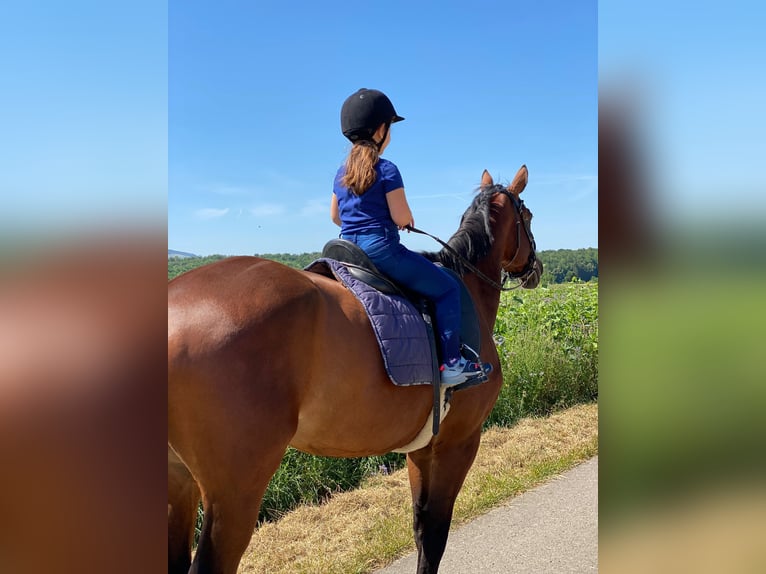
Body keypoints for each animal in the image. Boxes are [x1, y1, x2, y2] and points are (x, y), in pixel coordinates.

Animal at [166, 164, 544, 572]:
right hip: (235, 492)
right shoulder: (458, 442)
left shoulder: (423, 448)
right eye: (528, 215)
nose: (536, 268)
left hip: (180, 484)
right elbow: (435, 533)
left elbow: (420, 526)